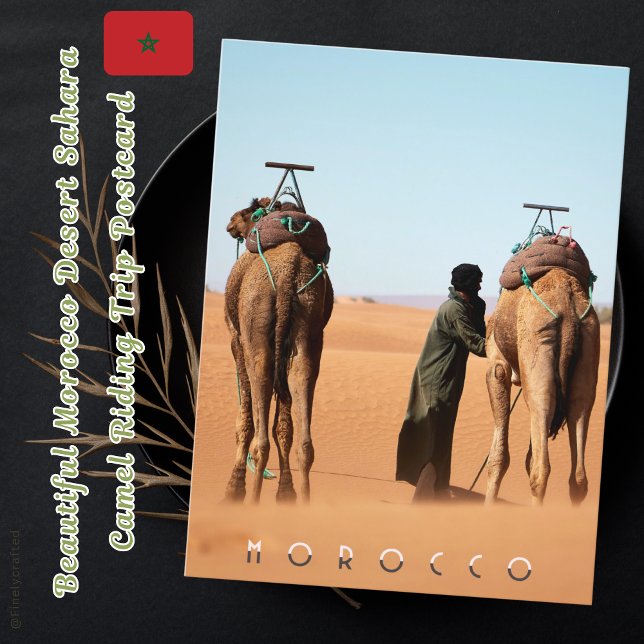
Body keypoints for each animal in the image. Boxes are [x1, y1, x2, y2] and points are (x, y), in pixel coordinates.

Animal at [223, 198, 333, 504]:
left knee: (260, 434)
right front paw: (286, 493)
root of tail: (287, 277)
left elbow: (245, 420)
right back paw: (304, 500)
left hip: (256, 329)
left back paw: (251, 499)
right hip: (308, 328)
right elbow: (284, 426)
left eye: (249, 211)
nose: (230, 222)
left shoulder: (237, 340)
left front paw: (233, 489)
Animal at [485, 268, 600, 506]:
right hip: (588, 346)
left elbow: (498, 458)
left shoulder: (497, 363)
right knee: (578, 476)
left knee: (540, 470)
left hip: (537, 345)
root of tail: (568, 306)